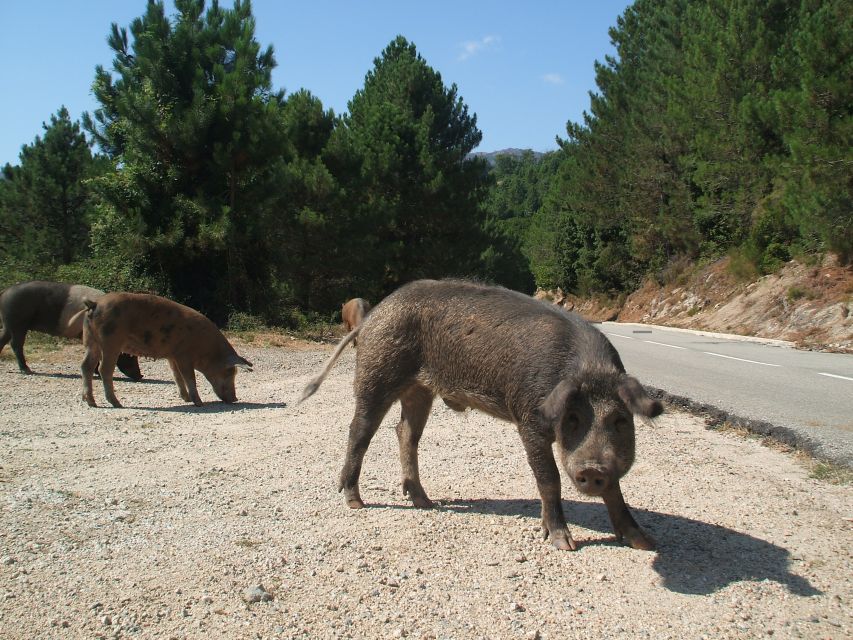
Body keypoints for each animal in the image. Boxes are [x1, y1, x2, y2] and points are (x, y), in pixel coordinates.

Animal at [0, 282, 141, 380]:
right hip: (18, 322)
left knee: (3, 339)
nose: (141, 376)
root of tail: (5, 291)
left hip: (8, 324)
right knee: (16, 344)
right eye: (130, 355)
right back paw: (27, 370)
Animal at [302, 278, 664, 552]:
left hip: (419, 390)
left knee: (405, 433)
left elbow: (615, 491)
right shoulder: (528, 419)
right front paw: (565, 545)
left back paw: (425, 502)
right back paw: (355, 502)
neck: (590, 368)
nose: (592, 469)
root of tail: (373, 316)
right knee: (359, 431)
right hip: (377, 372)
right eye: (572, 418)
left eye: (620, 421)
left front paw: (644, 542)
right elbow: (549, 479)